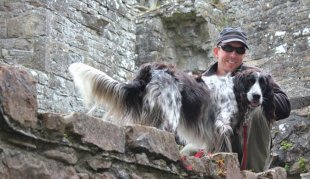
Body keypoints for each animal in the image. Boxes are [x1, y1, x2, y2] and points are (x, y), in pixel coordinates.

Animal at [69, 61, 274, 155]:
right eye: (250, 82)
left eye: (263, 84)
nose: (257, 96)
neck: (235, 89)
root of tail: (150, 69)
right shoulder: (221, 124)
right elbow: (224, 147)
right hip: (171, 114)